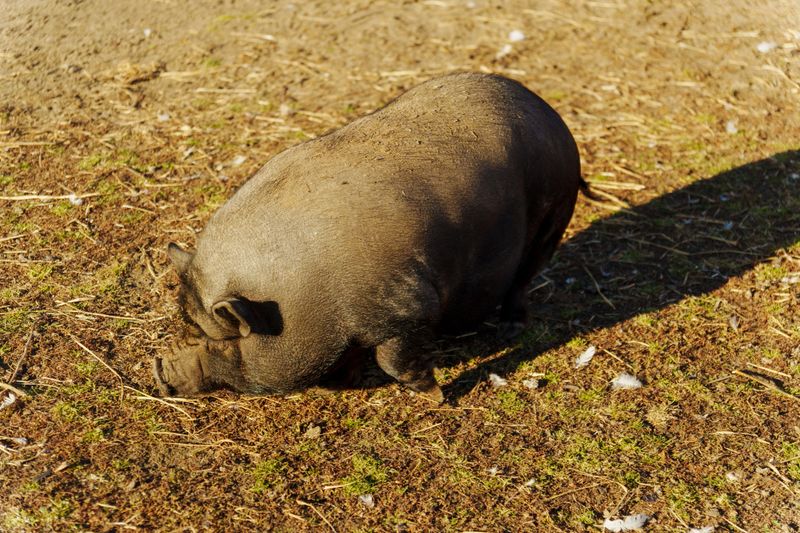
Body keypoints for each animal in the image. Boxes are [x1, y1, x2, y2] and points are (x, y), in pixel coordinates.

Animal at [154, 72, 584, 401]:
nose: (159, 370)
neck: (298, 300)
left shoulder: (408, 306)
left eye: (216, 338)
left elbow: (392, 360)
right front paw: (346, 380)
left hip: (555, 214)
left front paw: (437, 397)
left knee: (524, 277)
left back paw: (511, 327)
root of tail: (548, 113)